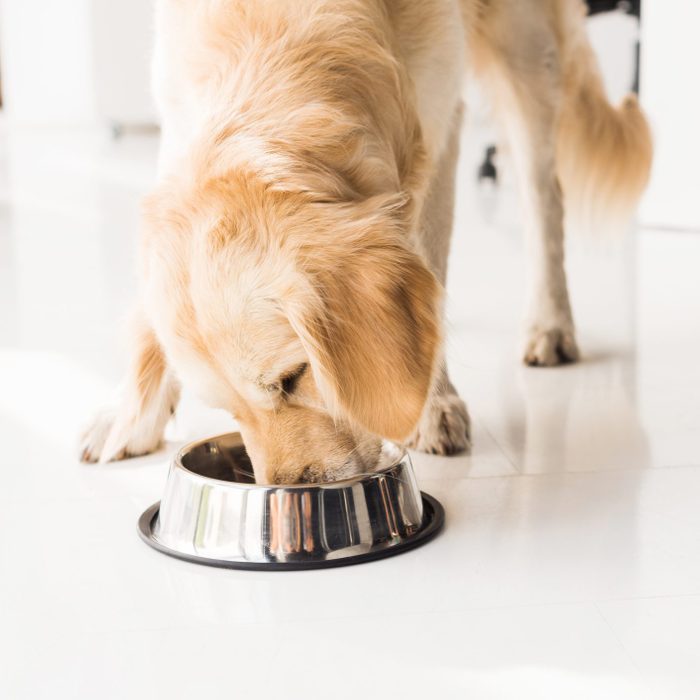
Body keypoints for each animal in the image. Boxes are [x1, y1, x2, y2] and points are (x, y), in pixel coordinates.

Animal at [80, 0, 652, 482]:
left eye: (293, 378)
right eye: (226, 408)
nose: (290, 491)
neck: (273, 31)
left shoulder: (438, 119)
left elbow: (429, 262)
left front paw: (431, 405)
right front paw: (129, 412)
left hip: (526, 46)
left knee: (543, 194)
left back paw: (550, 323)